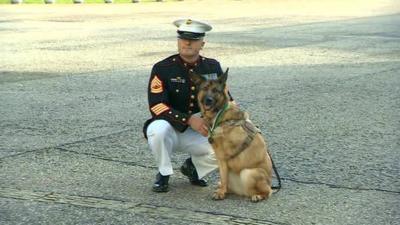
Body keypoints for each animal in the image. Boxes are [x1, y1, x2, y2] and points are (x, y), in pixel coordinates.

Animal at [189, 69, 274, 202]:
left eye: (215, 90)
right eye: (205, 88)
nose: (208, 100)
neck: (220, 115)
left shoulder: (223, 156)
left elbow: (223, 176)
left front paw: (221, 193)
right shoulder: (220, 158)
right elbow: (223, 177)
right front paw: (222, 191)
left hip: (248, 173)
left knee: (268, 192)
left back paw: (258, 195)